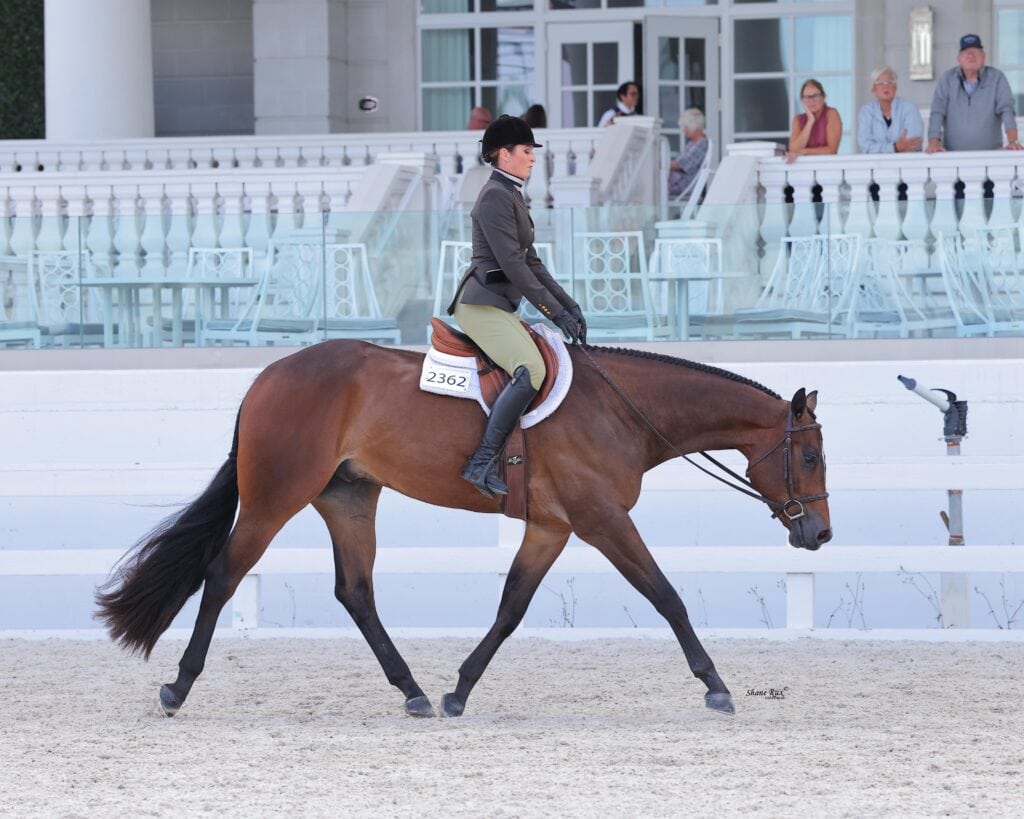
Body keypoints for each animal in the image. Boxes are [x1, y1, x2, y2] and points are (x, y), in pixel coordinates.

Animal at [96, 339, 831, 718]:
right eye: (809, 457)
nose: (819, 536)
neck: (622, 409)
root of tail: (265, 377)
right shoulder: (601, 518)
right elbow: (667, 596)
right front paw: (716, 685)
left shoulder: (551, 527)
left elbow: (510, 608)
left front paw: (458, 689)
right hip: (276, 497)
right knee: (222, 575)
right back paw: (178, 687)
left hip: (349, 499)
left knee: (355, 592)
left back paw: (415, 692)